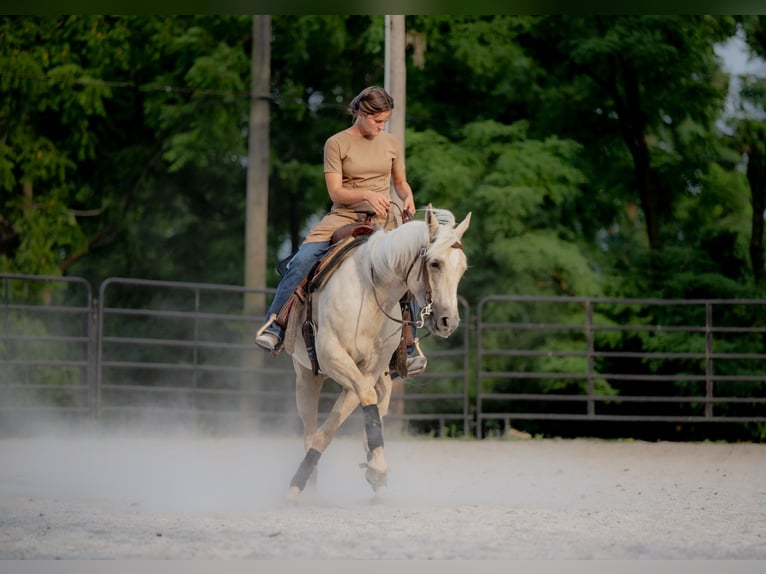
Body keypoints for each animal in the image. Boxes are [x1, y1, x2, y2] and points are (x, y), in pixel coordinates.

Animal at [282, 205, 471, 502]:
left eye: (462, 267)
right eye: (434, 263)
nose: (447, 321)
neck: (371, 293)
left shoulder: (369, 371)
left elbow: (354, 416)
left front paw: (377, 469)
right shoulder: (333, 356)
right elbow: (331, 427)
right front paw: (295, 486)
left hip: (384, 378)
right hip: (306, 376)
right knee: (309, 429)